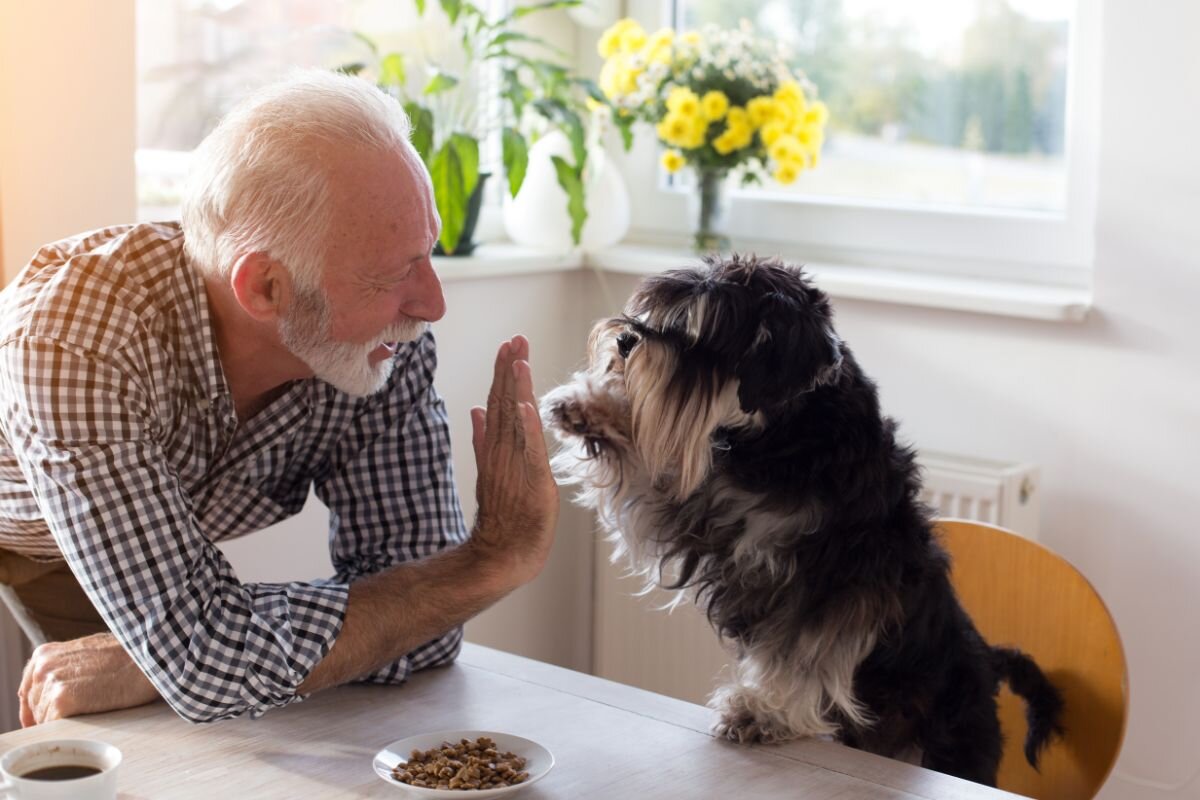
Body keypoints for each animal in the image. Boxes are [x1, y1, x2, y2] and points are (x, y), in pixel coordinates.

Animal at [540, 253, 1065, 786]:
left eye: (704, 332)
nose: (626, 340)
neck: (786, 436)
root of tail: (987, 661)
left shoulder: (835, 582)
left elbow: (803, 653)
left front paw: (761, 712)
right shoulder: (701, 514)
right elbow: (649, 474)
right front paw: (589, 407)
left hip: (951, 745)